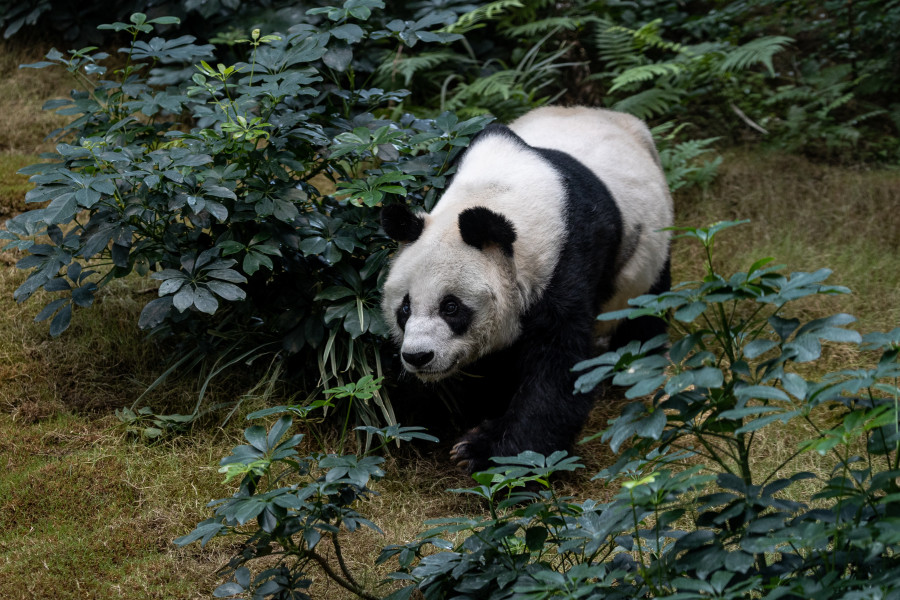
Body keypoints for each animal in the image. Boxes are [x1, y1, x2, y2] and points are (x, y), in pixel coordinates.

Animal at [382, 106, 676, 474]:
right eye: (405, 308)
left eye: (451, 307)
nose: (418, 356)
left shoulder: (569, 260)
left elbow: (559, 366)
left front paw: (493, 453)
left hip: (653, 244)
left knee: (646, 310)